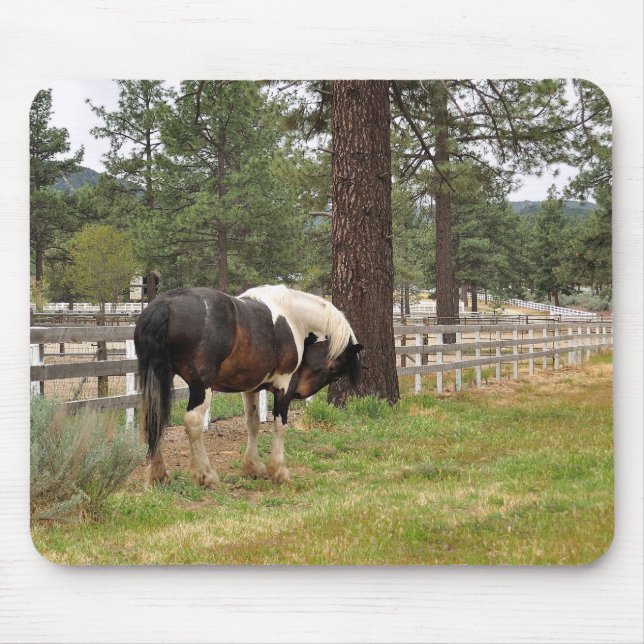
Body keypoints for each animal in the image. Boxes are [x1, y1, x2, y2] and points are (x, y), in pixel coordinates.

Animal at [133, 285, 363, 488]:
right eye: (335, 370)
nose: (300, 392)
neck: (294, 318)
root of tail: (165, 304)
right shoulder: (283, 388)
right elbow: (280, 426)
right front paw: (279, 472)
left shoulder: (250, 388)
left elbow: (252, 423)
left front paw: (253, 467)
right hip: (201, 387)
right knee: (193, 421)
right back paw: (205, 475)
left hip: (157, 379)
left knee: (152, 417)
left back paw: (158, 475)